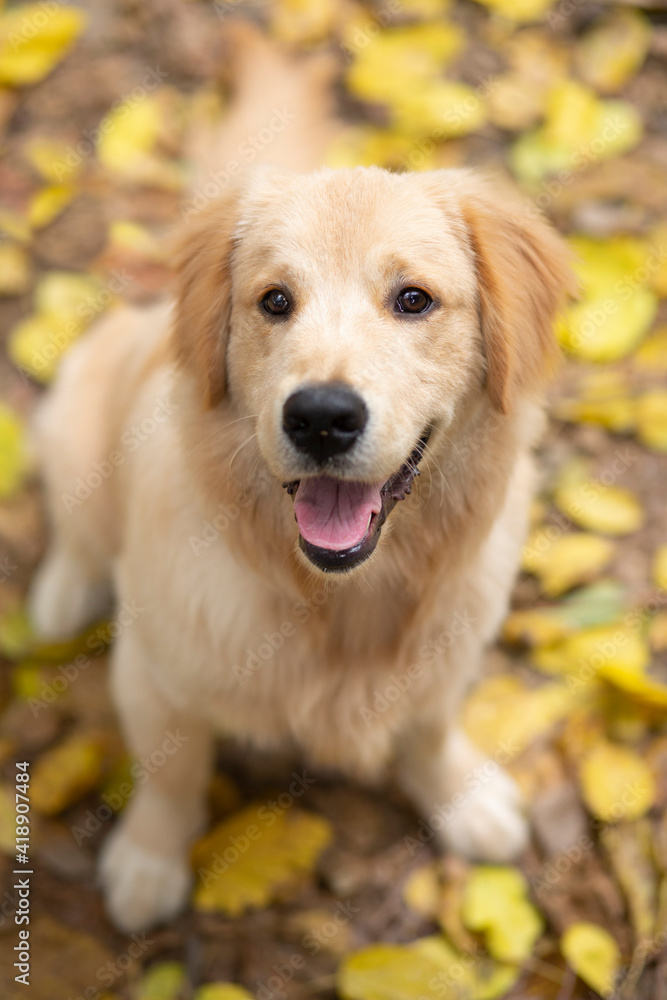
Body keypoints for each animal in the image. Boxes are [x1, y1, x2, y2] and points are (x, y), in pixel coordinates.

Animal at [27, 25, 576, 928]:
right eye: (274, 301)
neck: (340, 603)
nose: (320, 417)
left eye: (413, 299)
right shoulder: (154, 675)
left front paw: (462, 799)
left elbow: (429, 727)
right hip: (76, 412)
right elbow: (171, 777)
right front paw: (148, 861)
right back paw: (62, 592)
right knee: (77, 525)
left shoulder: (448, 654)